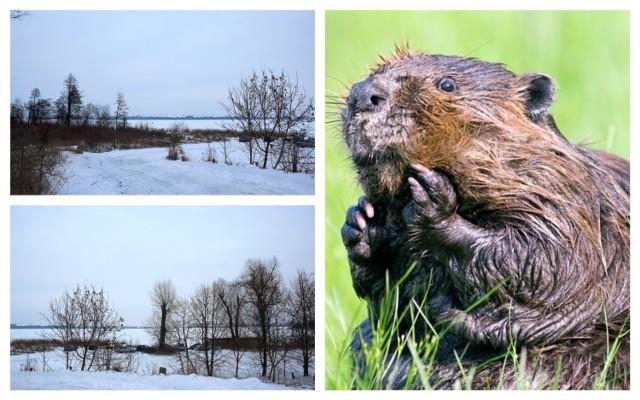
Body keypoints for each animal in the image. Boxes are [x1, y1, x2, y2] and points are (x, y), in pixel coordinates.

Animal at [340, 46, 632, 388]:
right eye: (377, 71)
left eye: (447, 85)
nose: (363, 93)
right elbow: (392, 306)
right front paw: (362, 223)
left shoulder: (568, 201)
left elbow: (544, 262)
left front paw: (433, 199)